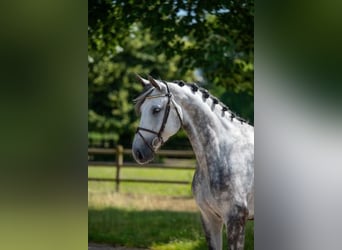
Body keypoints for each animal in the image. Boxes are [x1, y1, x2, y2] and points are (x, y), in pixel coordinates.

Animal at [132, 75, 252, 250]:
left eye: (156, 110)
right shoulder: (209, 218)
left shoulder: (235, 220)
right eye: (141, 110)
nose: (138, 152)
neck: (224, 151)